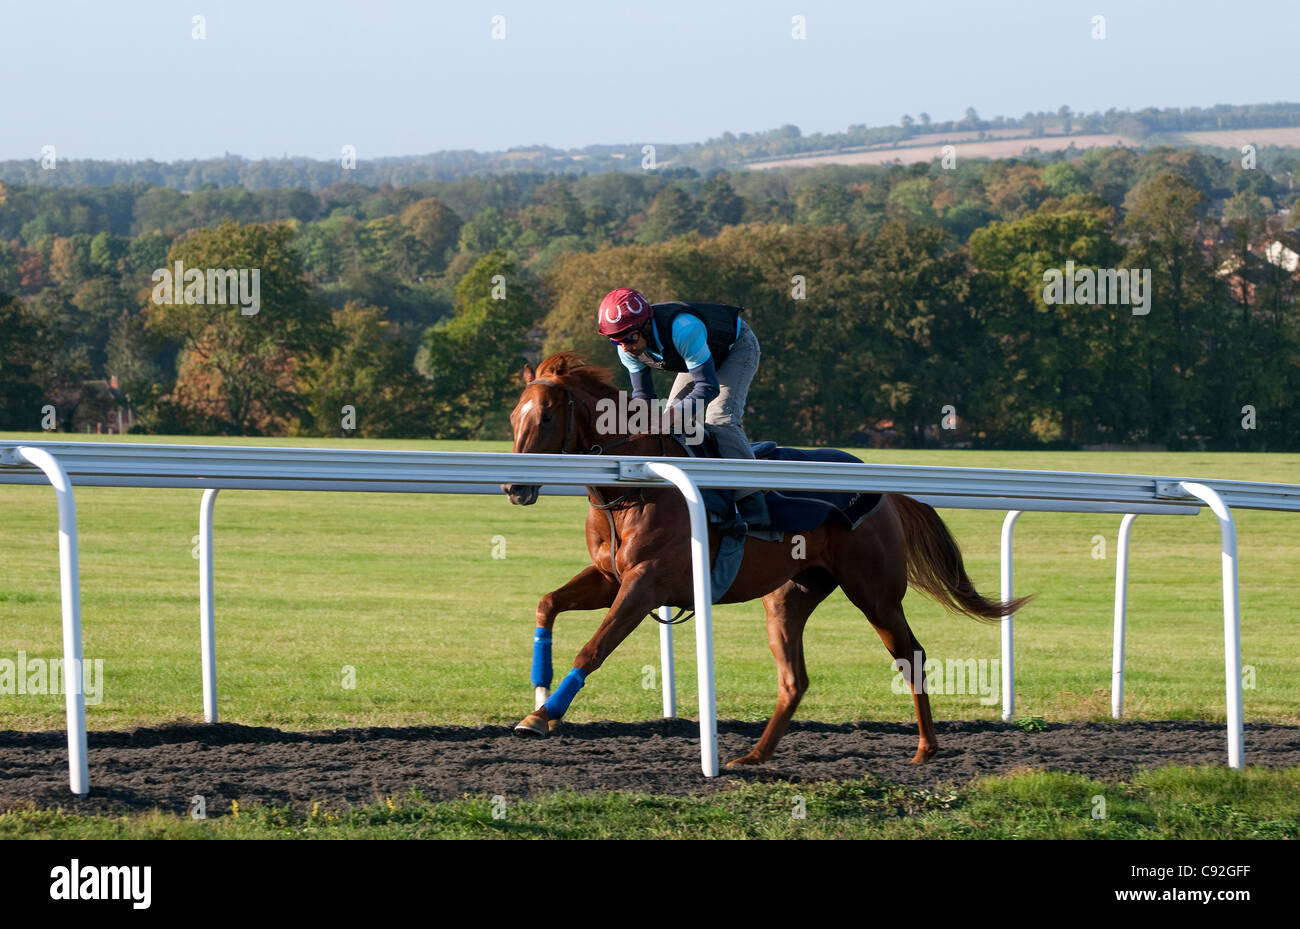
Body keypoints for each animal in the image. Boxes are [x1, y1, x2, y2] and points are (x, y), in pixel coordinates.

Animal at [501, 351, 1027, 767]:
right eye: (512, 417)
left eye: (545, 417)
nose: (513, 486)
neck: (637, 483)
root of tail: (887, 493)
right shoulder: (611, 577)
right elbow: (548, 603)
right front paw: (539, 686)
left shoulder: (645, 584)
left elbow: (594, 648)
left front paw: (542, 715)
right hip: (789, 596)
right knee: (794, 679)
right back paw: (753, 755)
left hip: (875, 593)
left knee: (910, 655)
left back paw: (925, 748)